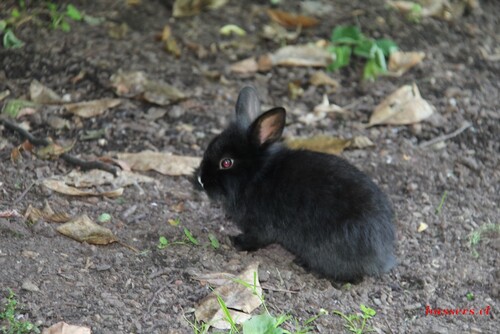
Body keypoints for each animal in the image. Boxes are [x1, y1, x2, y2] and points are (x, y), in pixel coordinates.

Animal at [195, 87, 394, 282]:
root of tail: (380, 257)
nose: (201, 180)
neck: (256, 175)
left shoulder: (261, 227)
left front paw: (236, 241)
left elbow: (257, 239)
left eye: (226, 162)